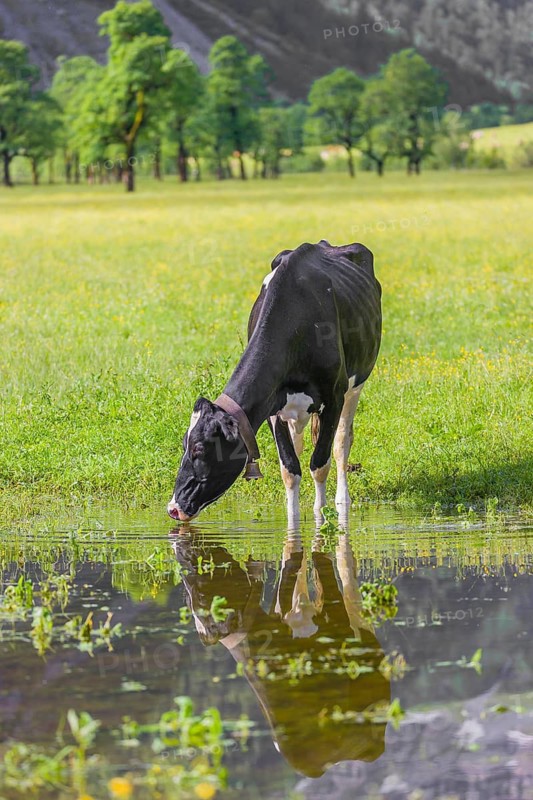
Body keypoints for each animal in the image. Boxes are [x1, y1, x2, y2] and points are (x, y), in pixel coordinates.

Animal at [168, 240, 382, 523]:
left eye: (199, 449)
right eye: (184, 444)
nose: (173, 508)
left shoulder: (333, 397)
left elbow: (319, 463)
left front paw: (321, 515)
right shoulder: (271, 407)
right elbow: (290, 469)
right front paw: (292, 521)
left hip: (355, 385)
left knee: (341, 442)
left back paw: (341, 499)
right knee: (300, 445)